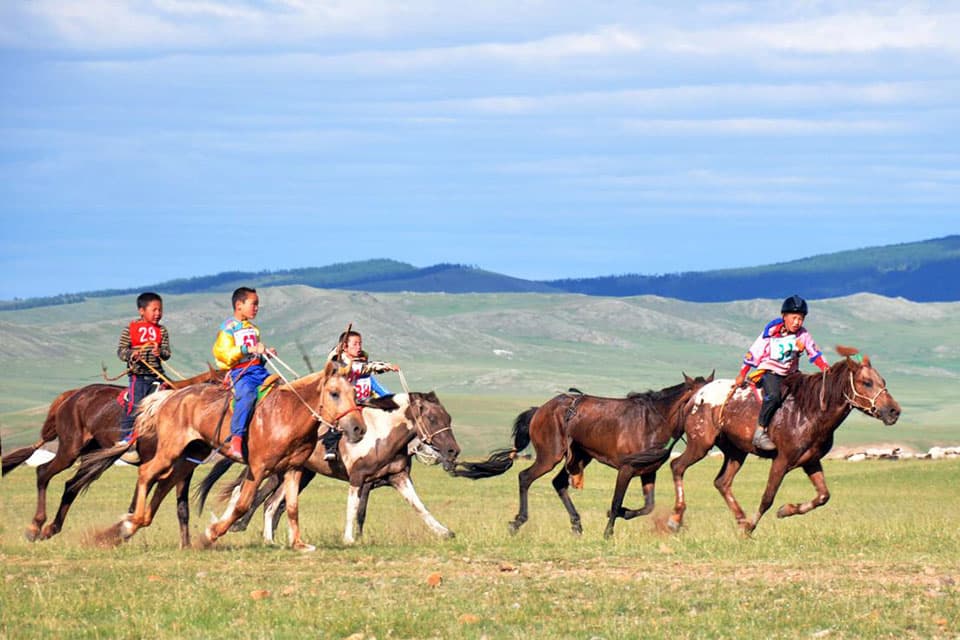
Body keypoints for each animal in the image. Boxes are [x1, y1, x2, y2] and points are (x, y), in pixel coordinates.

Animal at [1, 368, 221, 544]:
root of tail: (74, 395)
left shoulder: (184, 470)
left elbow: (182, 509)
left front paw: (186, 545)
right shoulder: (153, 464)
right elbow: (135, 504)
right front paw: (121, 534)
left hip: (93, 456)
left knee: (71, 486)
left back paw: (51, 529)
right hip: (70, 450)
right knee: (43, 472)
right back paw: (35, 526)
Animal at [196, 392, 462, 544]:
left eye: (449, 418)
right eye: (432, 419)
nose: (453, 452)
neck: (381, 434)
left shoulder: (398, 477)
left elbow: (419, 507)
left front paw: (444, 532)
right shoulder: (359, 478)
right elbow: (353, 509)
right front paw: (349, 539)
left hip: (298, 474)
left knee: (270, 504)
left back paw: (269, 540)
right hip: (273, 472)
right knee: (246, 495)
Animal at [452, 372, 712, 536]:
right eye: (700, 397)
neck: (654, 421)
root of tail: (540, 410)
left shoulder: (648, 472)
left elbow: (648, 506)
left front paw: (623, 514)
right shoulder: (626, 469)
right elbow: (616, 501)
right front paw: (608, 532)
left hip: (579, 456)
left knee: (558, 483)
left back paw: (576, 525)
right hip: (551, 456)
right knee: (525, 477)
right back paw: (518, 522)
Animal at [668, 344, 900, 536]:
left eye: (883, 381)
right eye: (866, 382)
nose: (894, 411)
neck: (809, 411)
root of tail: (696, 395)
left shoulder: (810, 461)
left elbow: (823, 496)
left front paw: (784, 510)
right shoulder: (781, 460)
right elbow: (767, 497)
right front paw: (752, 526)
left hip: (736, 451)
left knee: (722, 482)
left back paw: (740, 520)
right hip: (701, 444)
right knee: (677, 466)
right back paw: (676, 519)